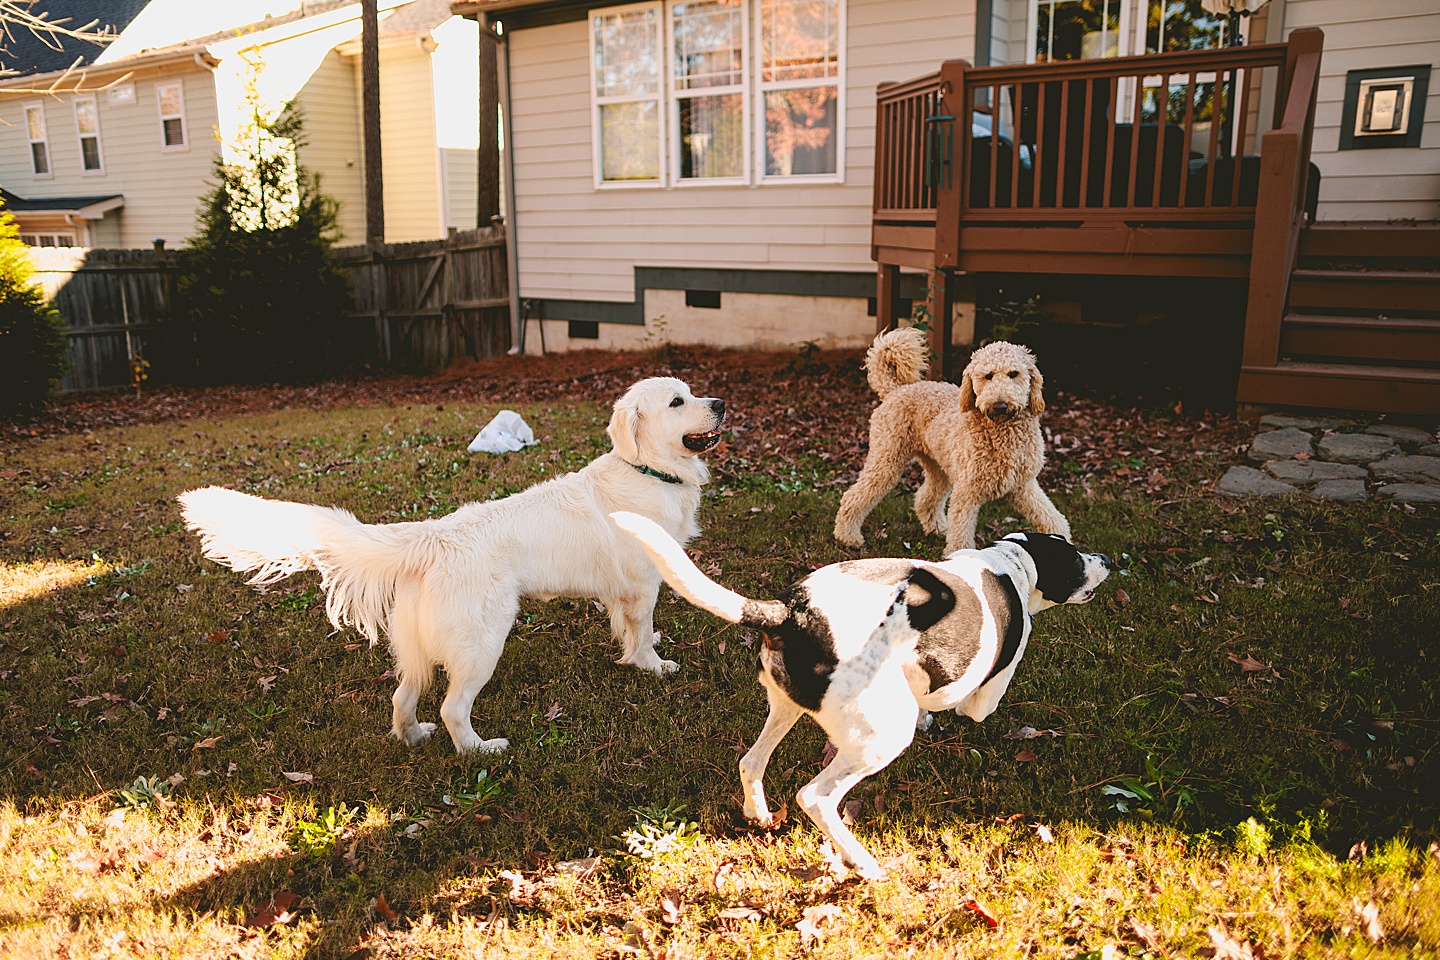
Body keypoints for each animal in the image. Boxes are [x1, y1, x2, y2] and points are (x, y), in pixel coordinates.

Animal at [607, 515, 1111, 880]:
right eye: (1074, 556)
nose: (1108, 558)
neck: (1011, 563)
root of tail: (790, 610)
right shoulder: (982, 693)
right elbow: (963, 706)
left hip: (787, 708)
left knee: (751, 762)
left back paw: (760, 815)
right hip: (881, 738)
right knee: (815, 796)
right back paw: (863, 863)